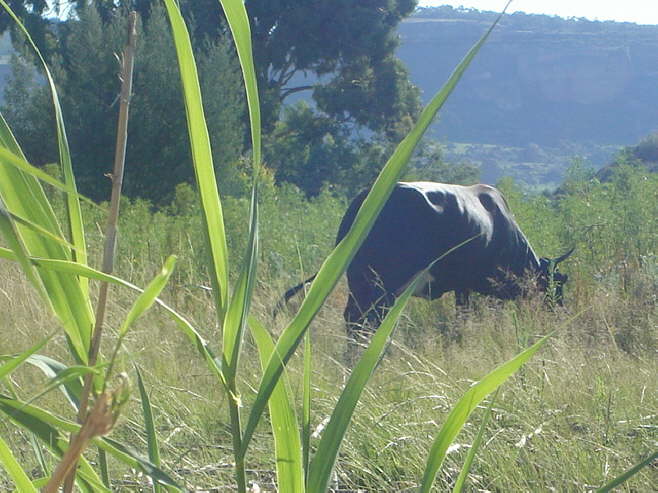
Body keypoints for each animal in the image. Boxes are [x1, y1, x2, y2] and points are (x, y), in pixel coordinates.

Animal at [282, 182, 574, 336]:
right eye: (557, 286)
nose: (561, 314)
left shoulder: (464, 287)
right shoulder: (471, 285)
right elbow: (466, 316)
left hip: (359, 281)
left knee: (353, 320)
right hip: (381, 286)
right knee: (366, 320)